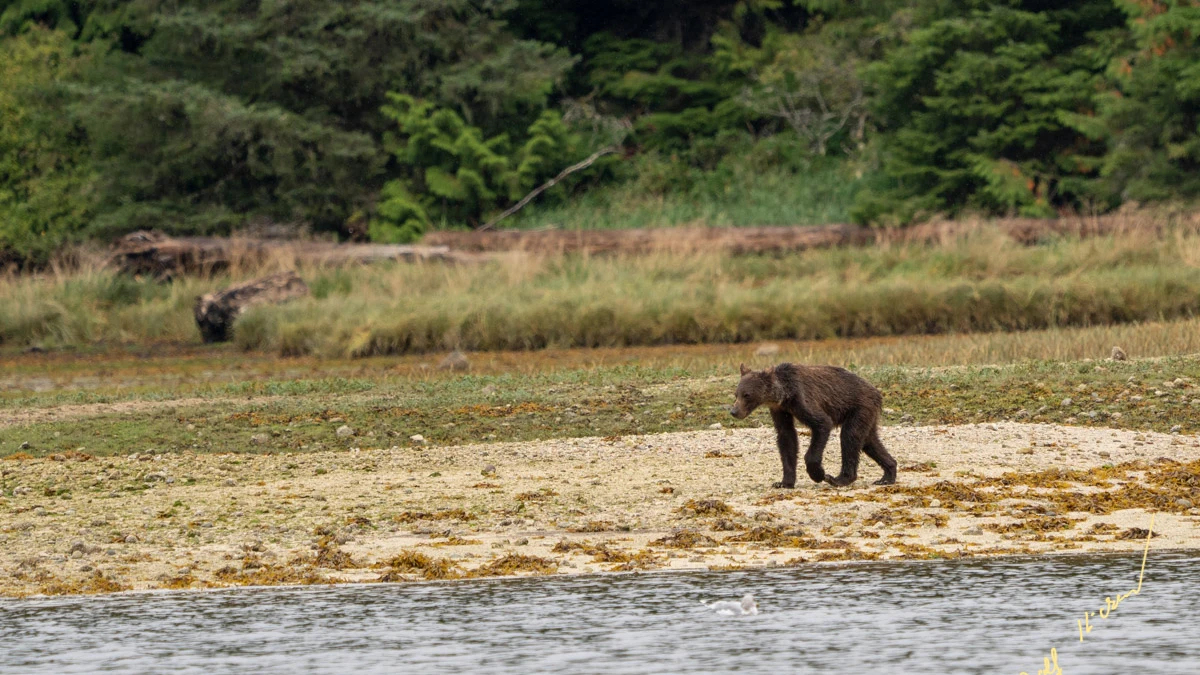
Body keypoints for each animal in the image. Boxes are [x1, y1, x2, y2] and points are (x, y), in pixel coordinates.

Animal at [724, 360, 897, 485]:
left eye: (747, 395)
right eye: (736, 394)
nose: (734, 411)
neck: (783, 395)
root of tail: (877, 392)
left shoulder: (802, 399)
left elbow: (822, 423)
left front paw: (818, 474)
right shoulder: (780, 410)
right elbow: (786, 438)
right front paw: (784, 482)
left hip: (859, 406)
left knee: (850, 436)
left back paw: (839, 479)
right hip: (867, 414)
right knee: (869, 441)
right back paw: (887, 475)